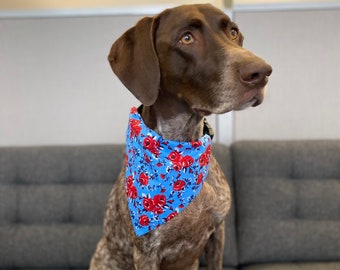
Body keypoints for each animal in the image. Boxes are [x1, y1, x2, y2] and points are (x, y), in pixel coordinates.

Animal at [89, 4, 270, 270]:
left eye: (233, 32)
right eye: (186, 38)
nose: (262, 71)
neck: (181, 145)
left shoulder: (217, 232)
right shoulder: (146, 254)